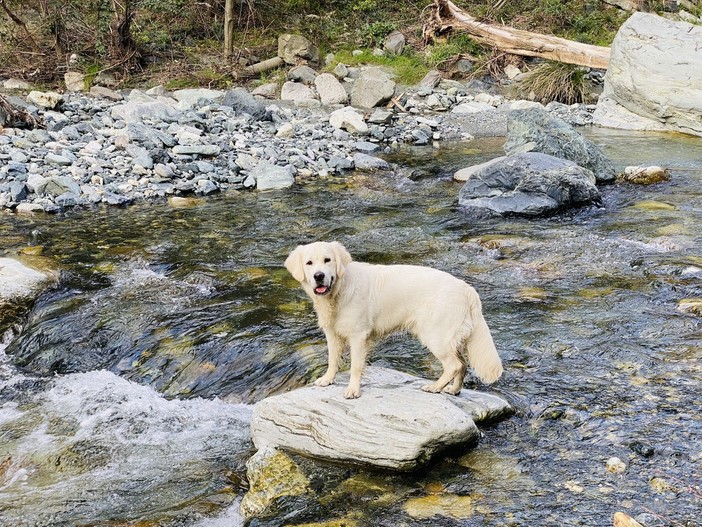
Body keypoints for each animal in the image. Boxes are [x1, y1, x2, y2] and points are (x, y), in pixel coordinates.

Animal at [284, 243, 504, 400]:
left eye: (327, 260)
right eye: (309, 263)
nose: (319, 276)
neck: (338, 292)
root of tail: (467, 289)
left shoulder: (359, 336)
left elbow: (355, 366)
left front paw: (353, 390)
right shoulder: (332, 333)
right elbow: (332, 359)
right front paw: (327, 379)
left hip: (435, 336)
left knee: (454, 365)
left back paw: (434, 387)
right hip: (449, 337)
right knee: (463, 363)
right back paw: (454, 390)